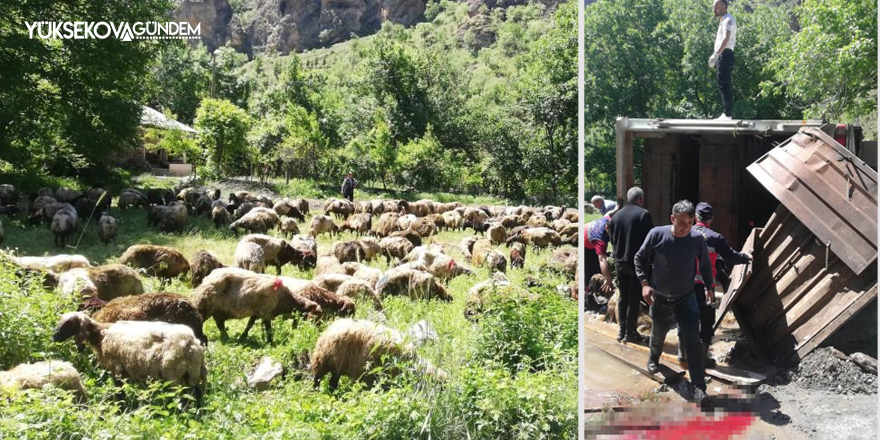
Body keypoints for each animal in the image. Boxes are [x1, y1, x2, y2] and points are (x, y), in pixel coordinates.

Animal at [191, 268, 322, 344]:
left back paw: (226, 337)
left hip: (218, 311)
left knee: (220, 325)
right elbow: (268, 329)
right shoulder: (266, 312)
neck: (286, 299)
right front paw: (270, 342)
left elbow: (250, 324)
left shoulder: (256, 312)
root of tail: (206, 279)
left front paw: (243, 337)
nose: (317, 331)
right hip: (205, 307)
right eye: (313, 316)